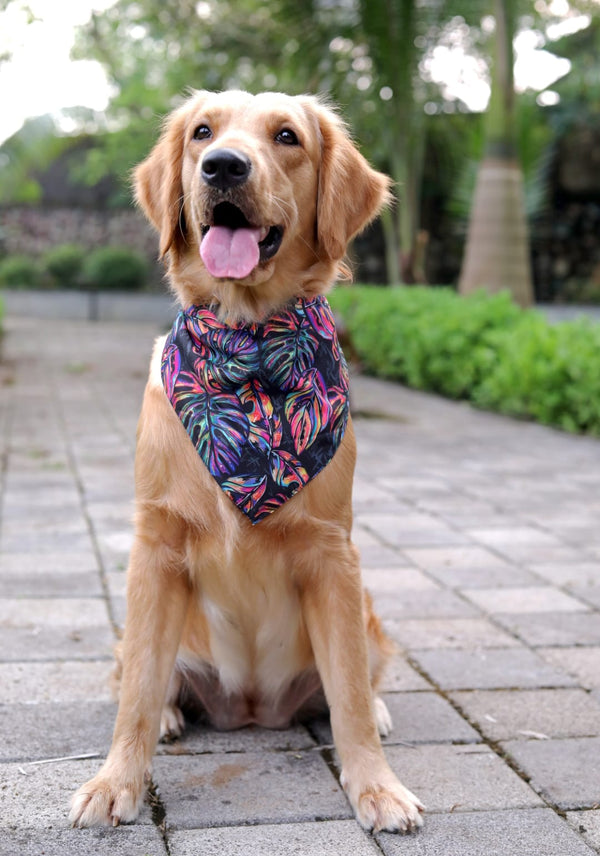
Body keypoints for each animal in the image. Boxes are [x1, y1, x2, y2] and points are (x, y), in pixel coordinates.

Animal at [69, 90, 422, 832]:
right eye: (202, 132)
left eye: (287, 137)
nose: (224, 166)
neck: (252, 348)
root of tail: (253, 711)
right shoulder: (155, 546)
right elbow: (136, 690)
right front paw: (117, 782)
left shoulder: (333, 554)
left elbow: (348, 696)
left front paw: (376, 786)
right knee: (140, 676)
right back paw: (171, 715)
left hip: (368, 610)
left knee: (357, 680)